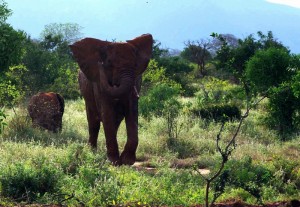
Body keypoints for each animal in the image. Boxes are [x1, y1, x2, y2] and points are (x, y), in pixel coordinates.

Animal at [70, 34, 154, 166]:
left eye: (135, 65)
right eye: (109, 63)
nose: (100, 63)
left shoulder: (135, 81)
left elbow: (132, 112)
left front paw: (127, 161)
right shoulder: (98, 83)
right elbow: (107, 111)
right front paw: (114, 161)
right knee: (93, 121)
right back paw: (92, 151)